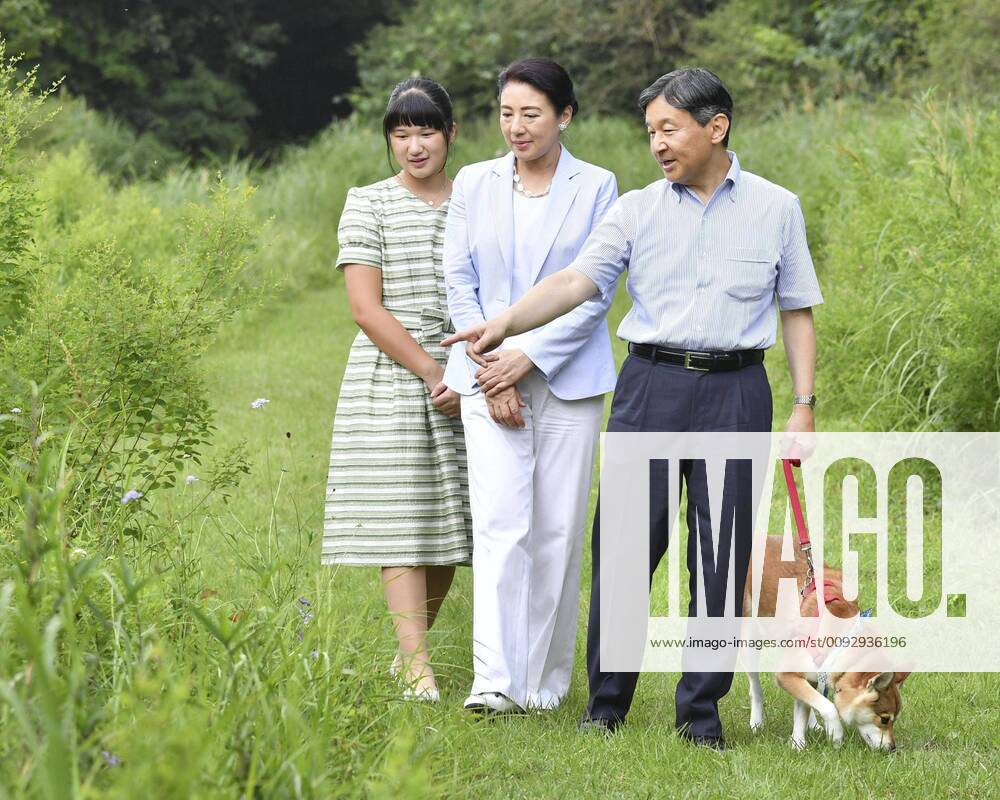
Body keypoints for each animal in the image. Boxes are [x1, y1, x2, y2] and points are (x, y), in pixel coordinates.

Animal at [744, 536, 916, 752]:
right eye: (885, 719)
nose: (893, 748)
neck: (840, 638)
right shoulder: (786, 674)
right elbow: (829, 706)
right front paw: (834, 733)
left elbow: (803, 710)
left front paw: (798, 743)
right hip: (751, 639)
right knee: (755, 688)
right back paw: (756, 722)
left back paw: (813, 724)